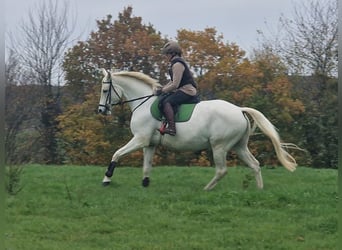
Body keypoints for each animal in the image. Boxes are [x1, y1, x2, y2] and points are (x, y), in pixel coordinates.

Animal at [97, 68, 298, 189]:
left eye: (105, 91)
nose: (101, 110)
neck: (143, 103)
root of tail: (239, 110)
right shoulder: (150, 144)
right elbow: (147, 166)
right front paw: (145, 184)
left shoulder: (140, 139)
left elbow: (117, 154)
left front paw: (106, 178)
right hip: (239, 146)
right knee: (254, 165)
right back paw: (259, 189)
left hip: (219, 146)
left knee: (222, 170)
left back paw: (206, 189)